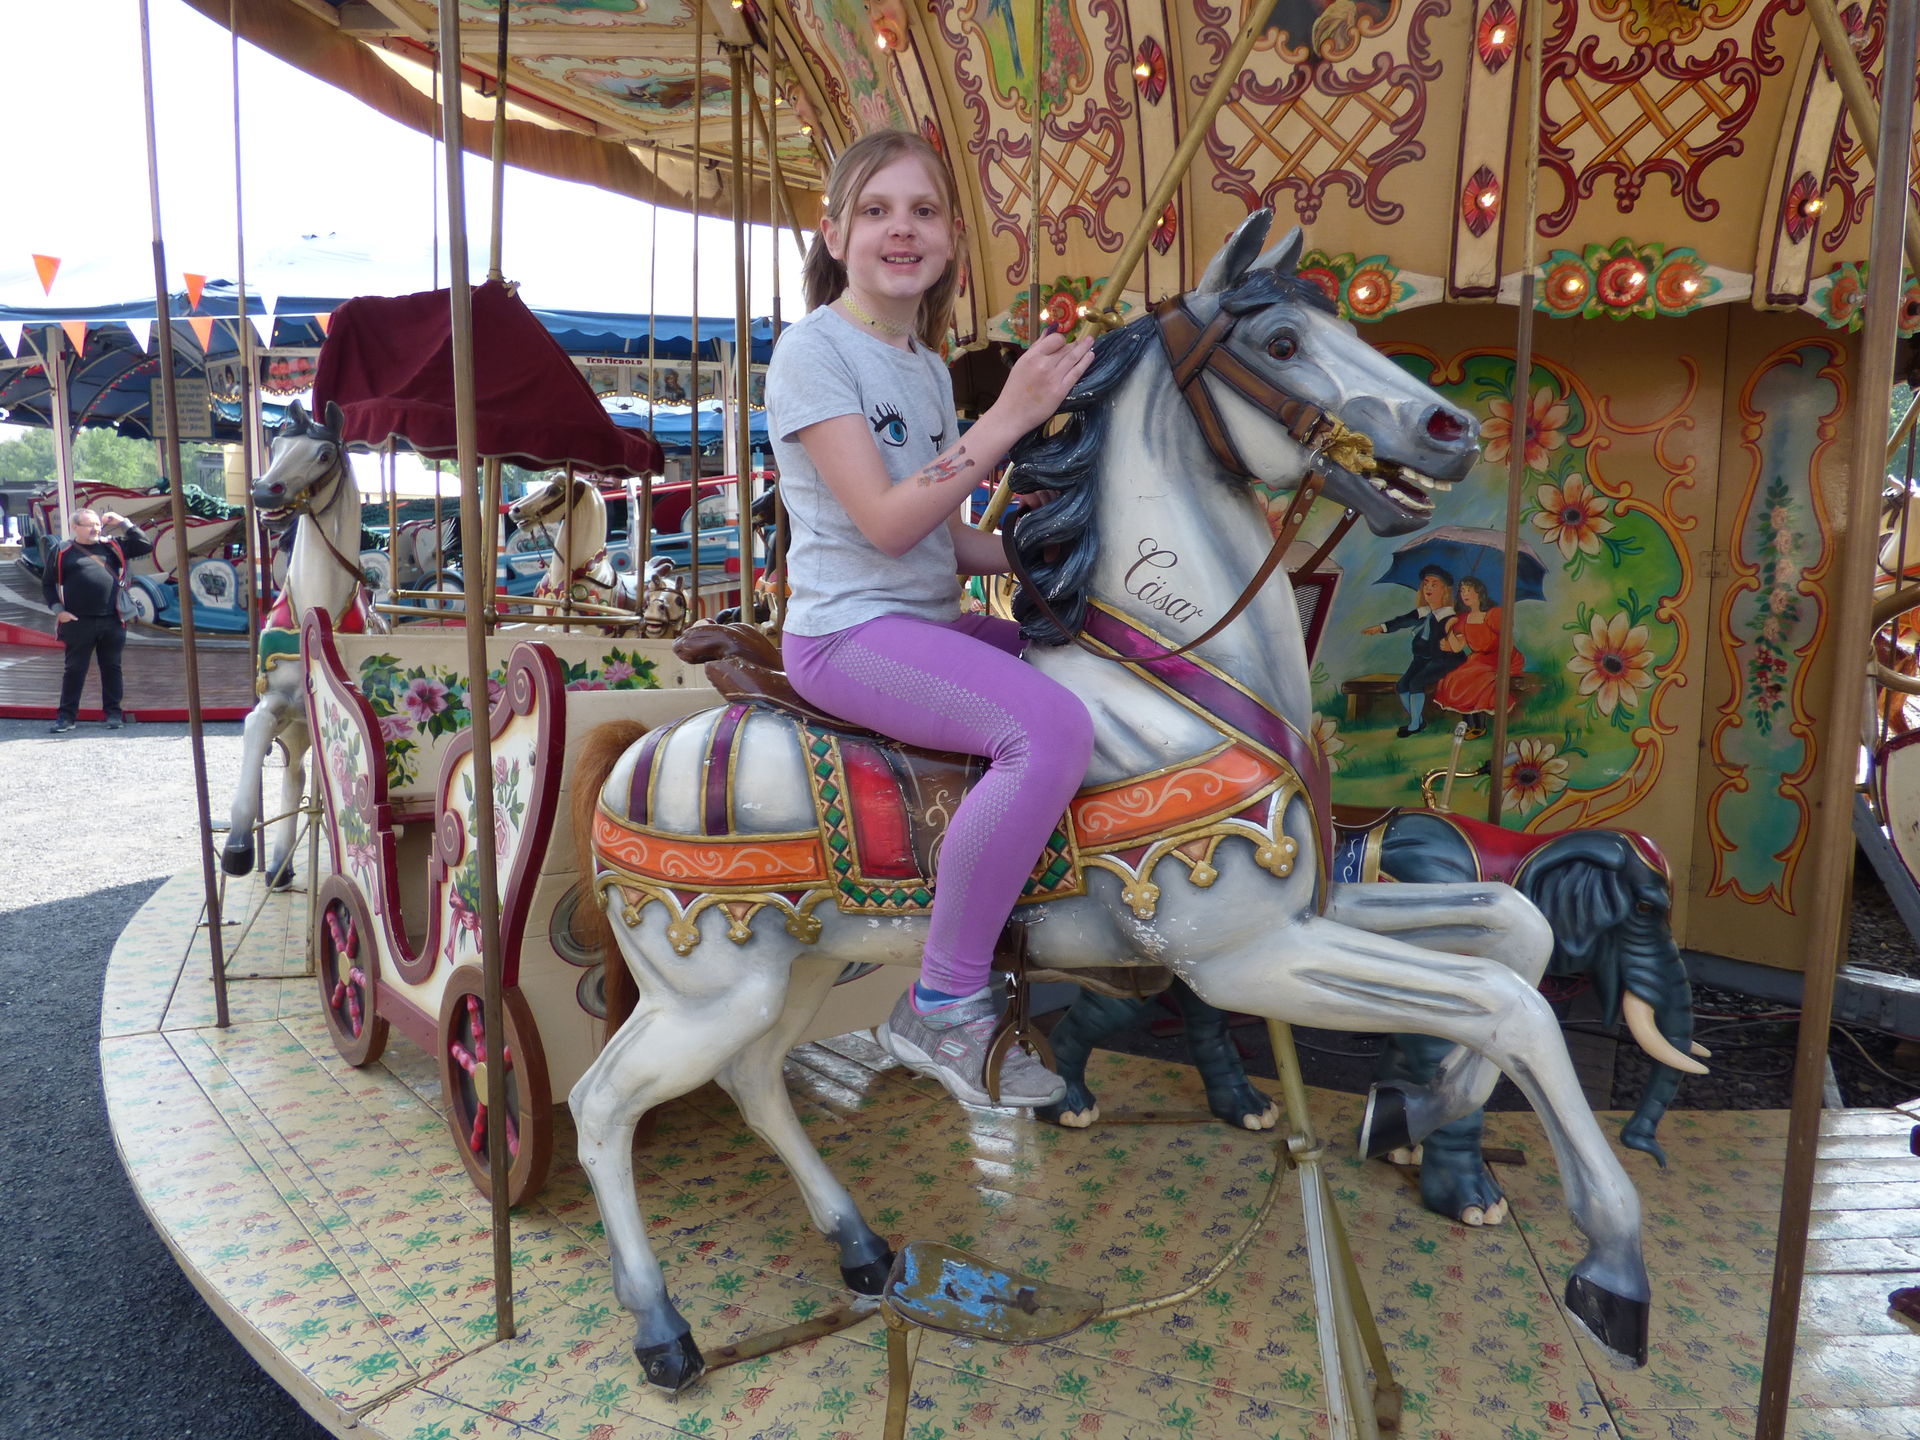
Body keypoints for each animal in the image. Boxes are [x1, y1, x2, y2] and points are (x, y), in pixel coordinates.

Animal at [221, 400, 380, 885]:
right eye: (276, 445)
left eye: (324, 454)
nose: (263, 492)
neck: (315, 610)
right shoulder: (278, 702)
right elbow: (255, 727)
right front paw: (236, 848)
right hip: (293, 728)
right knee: (294, 773)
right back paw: (277, 865)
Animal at [565, 213, 1654, 1392]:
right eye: (1278, 341)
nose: (1449, 429)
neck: (1182, 677)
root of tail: (638, 752)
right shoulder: (1245, 956)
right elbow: (1510, 1004)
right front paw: (1611, 1271)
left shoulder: (1313, 908)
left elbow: (1517, 931)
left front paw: (1425, 1109)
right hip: (704, 989)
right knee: (603, 1106)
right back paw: (665, 1333)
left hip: (800, 968)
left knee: (757, 1084)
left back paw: (862, 1250)